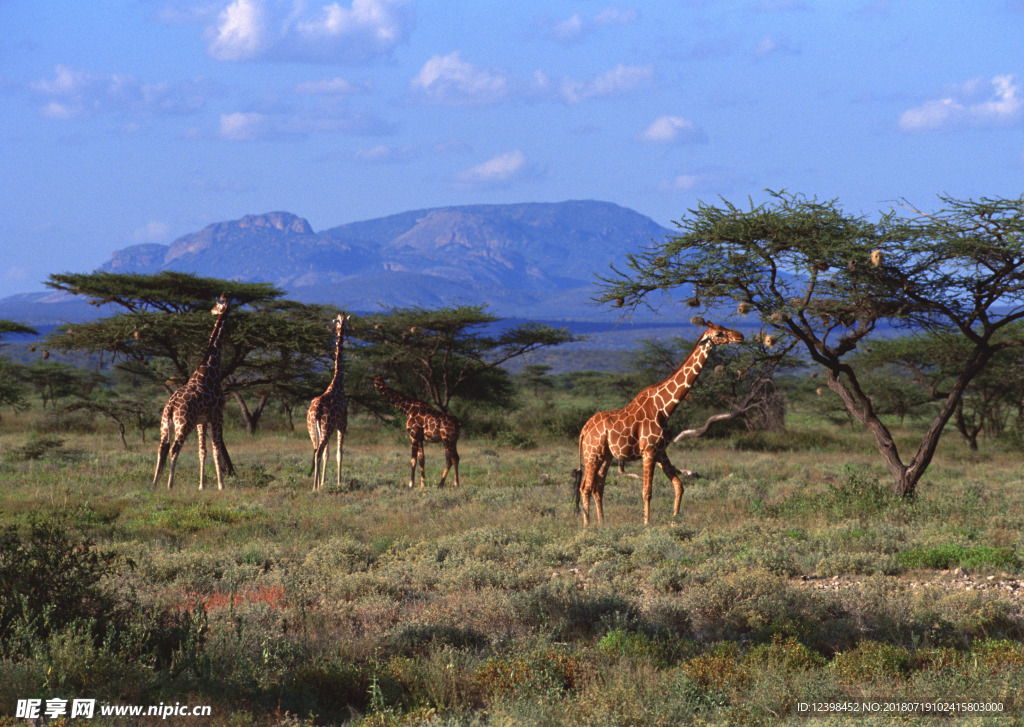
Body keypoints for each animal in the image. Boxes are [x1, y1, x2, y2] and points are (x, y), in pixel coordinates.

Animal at [150, 292, 234, 493]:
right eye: (218, 303)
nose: (212, 311)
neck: (209, 369)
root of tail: (171, 405)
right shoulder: (217, 416)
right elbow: (217, 449)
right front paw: (221, 485)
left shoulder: (201, 421)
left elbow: (202, 451)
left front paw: (201, 485)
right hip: (184, 423)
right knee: (174, 449)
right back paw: (169, 484)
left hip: (165, 424)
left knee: (161, 449)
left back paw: (154, 484)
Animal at [305, 315, 350, 493]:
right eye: (338, 321)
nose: (330, 327)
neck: (338, 382)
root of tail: (315, 410)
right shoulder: (342, 424)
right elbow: (339, 454)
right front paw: (338, 483)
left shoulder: (332, 428)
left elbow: (327, 455)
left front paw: (323, 483)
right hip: (326, 427)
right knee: (318, 452)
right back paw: (314, 487)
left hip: (312, 429)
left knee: (316, 451)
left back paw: (315, 486)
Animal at [569, 321, 745, 528]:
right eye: (719, 333)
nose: (740, 336)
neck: (664, 408)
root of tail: (584, 429)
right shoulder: (649, 450)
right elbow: (647, 492)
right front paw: (646, 524)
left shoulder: (661, 451)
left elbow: (679, 485)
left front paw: (675, 519)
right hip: (592, 454)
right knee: (585, 487)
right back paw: (587, 526)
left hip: (606, 457)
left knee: (598, 487)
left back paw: (603, 523)